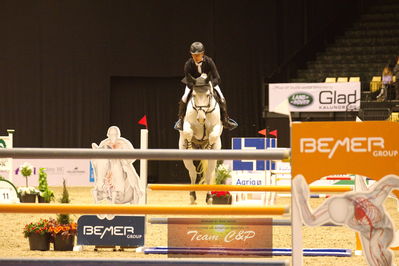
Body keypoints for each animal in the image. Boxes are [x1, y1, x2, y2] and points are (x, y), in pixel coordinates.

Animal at [179, 74, 223, 205]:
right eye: (193, 95)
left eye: (208, 95)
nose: (201, 119)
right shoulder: (187, 124)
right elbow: (188, 132)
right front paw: (189, 145)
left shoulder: (217, 127)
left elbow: (212, 136)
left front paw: (208, 147)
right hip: (185, 158)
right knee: (193, 172)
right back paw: (192, 195)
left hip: (214, 158)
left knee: (208, 174)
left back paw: (209, 197)